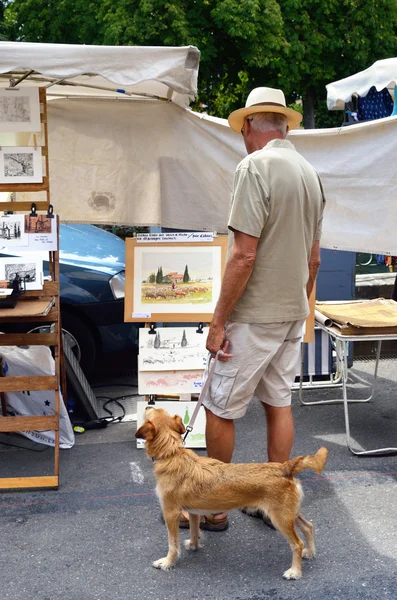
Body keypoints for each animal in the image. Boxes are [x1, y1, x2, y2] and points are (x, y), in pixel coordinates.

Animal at [136, 406, 328, 580]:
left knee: (297, 543)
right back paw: (310, 552)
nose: (147, 405)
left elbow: (172, 544)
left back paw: (295, 571)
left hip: (280, 518)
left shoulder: (171, 513)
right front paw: (194, 544)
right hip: (289, 514)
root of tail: (285, 467)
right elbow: (193, 530)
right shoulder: (193, 512)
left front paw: (168, 562)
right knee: (308, 527)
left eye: (149, 412)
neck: (172, 453)